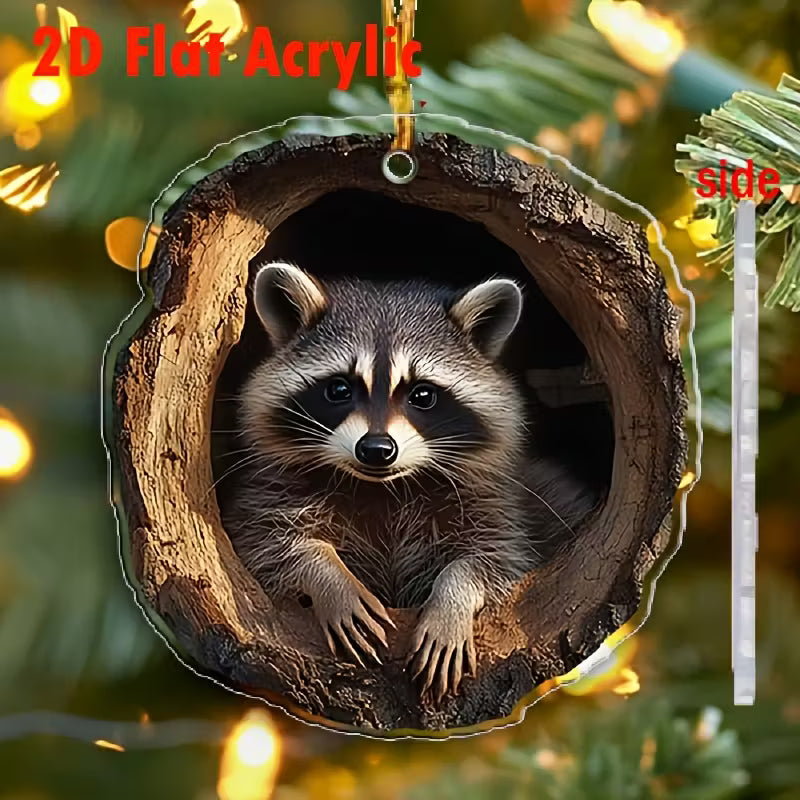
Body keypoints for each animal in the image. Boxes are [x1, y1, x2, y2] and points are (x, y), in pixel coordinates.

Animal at [221, 261, 597, 700]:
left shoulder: (495, 503)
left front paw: (451, 600)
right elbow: (266, 542)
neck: (383, 487)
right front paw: (328, 576)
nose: (376, 449)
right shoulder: (271, 492)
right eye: (339, 389)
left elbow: (496, 560)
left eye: (422, 395)